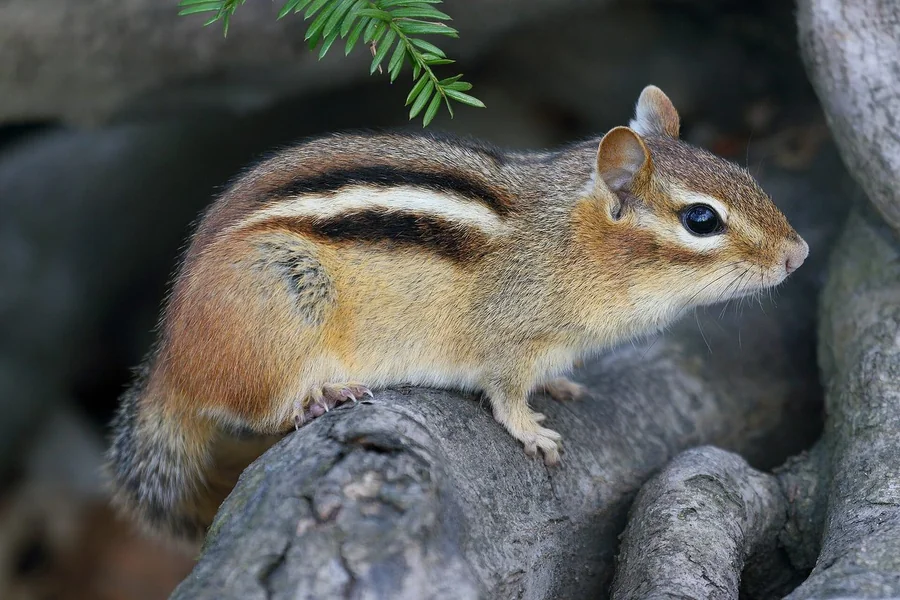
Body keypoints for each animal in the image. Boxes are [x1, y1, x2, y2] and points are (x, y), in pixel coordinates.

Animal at [105, 85, 809, 542]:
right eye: (701, 220)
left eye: (743, 172)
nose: (799, 254)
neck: (566, 239)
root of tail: (172, 360)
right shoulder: (508, 339)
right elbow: (503, 391)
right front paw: (530, 429)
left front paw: (558, 385)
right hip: (279, 306)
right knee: (259, 407)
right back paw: (320, 397)